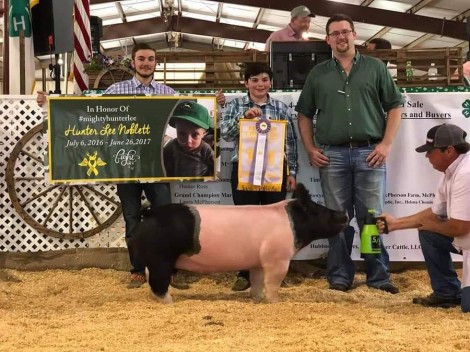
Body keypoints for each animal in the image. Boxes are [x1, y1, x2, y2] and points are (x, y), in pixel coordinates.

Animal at [132, 183, 346, 304]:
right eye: (318, 210)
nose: (343, 214)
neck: (292, 224)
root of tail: (150, 214)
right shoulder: (277, 259)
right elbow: (273, 283)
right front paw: (275, 302)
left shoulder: (258, 262)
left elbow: (258, 282)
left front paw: (257, 299)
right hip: (161, 258)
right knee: (158, 282)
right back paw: (170, 302)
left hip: (154, 260)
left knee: (151, 280)